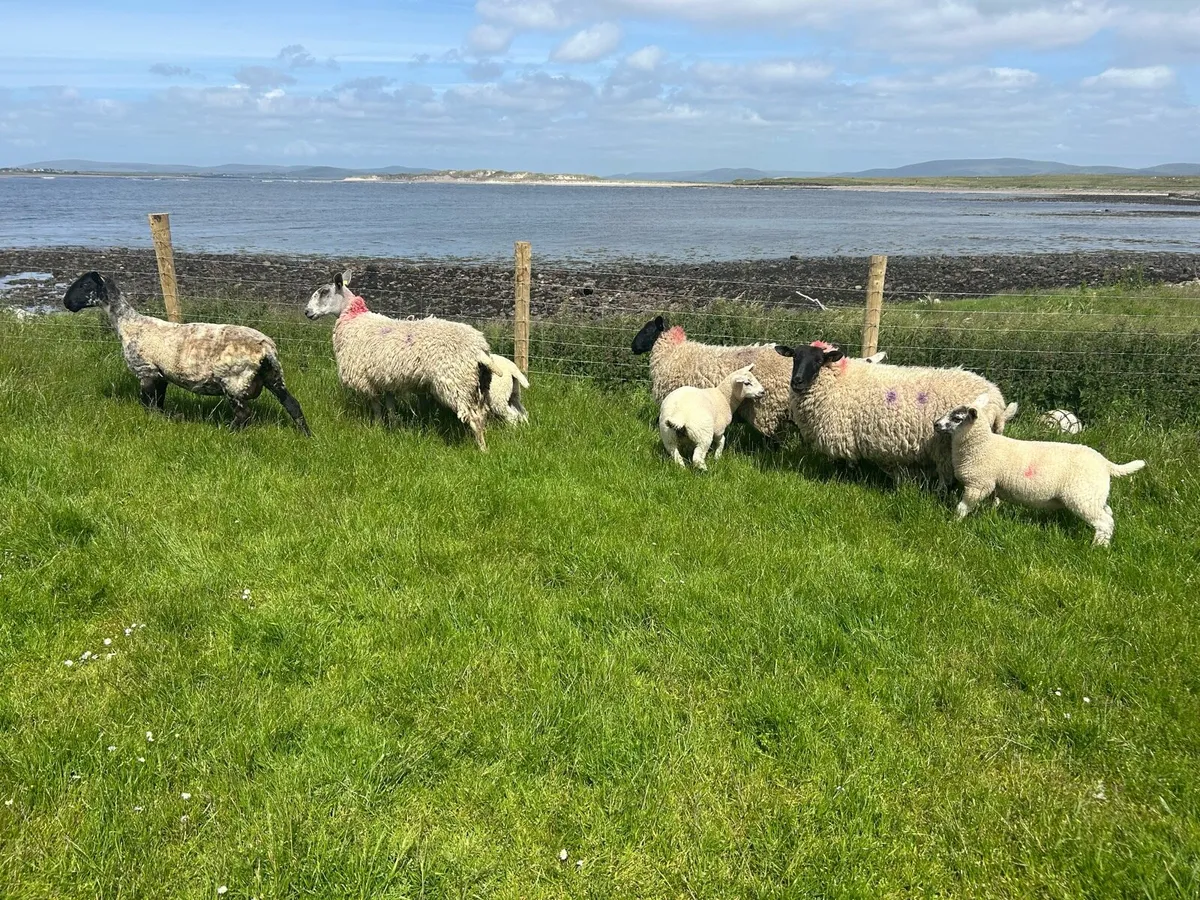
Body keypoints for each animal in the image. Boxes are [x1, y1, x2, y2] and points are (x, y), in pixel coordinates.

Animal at [63, 271, 310, 434]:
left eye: (84, 285)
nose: (66, 303)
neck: (128, 323)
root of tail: (265, 348)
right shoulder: (160, 375)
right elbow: (158, 403)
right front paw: (161, 420)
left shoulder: (146, 371)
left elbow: (148, 404)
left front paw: (150, 422)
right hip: (273, 375)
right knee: (293, 404)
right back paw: (306, 436)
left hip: (234, 379)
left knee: (244, 414)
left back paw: (228, 433)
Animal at [305, 269, 505, 450]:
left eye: (324, 292)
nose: (307, 312)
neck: (354, 319)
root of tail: (479, 349)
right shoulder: (386, 379)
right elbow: (390, 407)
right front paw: (393, 427)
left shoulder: (366, 379)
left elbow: (376, 407)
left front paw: (378, 428)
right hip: (479, 383)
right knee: (482, 413)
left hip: (456, 381)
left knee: (475, 417)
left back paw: (482, 449)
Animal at [773, 341, 1018, 488]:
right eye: (794, 358)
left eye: (818, 361)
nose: (797, 382)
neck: (838, 381)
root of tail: (997, 400)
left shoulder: (842, 435)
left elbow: (844, 464)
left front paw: (841, 480)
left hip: (948, 447)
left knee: (946, 477)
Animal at [934, 393, 1144, 546]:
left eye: (957, 418)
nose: (935, 424)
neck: (982, 445)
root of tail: (1106, 463)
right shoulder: (991, 485)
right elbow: (993, 502)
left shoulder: (978, 484)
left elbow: (962, 507)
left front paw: (954, 523)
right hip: (1094, 495)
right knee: (1108, 514)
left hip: (1082, 497)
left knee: (1104, 522)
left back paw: (1098, 548)